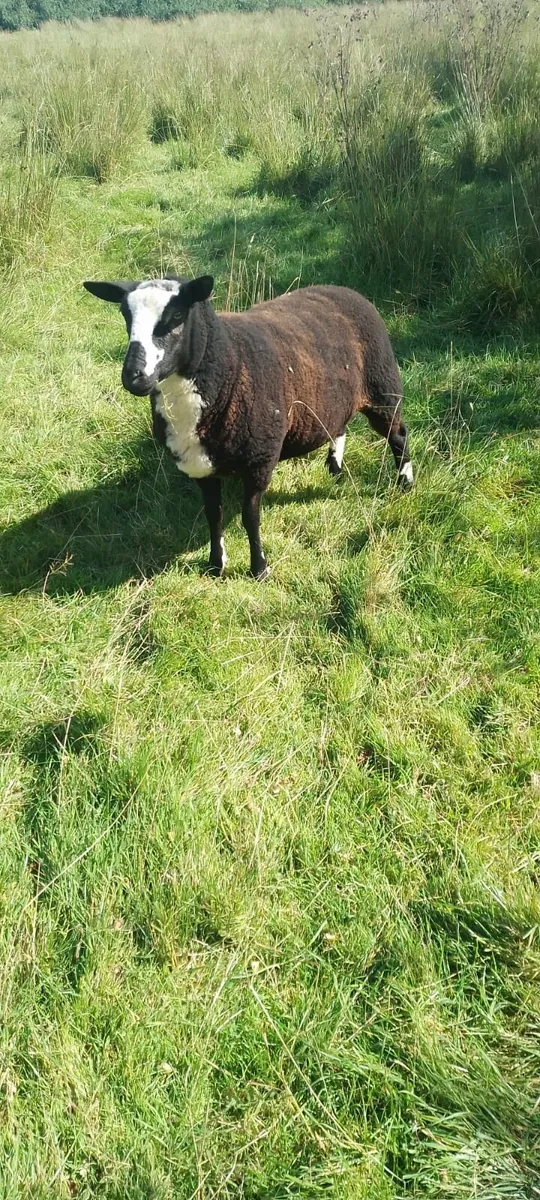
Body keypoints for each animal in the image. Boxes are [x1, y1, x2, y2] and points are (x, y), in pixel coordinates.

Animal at [83, 274, 413, 580]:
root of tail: (344, 289)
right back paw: (335, 467)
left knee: (398, 435)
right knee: (339, 425)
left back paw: (405, 483)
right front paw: (216, 564)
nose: (133, 377)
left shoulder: (260, 460)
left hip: (382, 386)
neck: (228, 364)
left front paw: (259, 569)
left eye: (177, 316)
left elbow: (250, 518)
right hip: (334, 399)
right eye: (125, 314)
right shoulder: (201, 467)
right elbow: (213, 515)